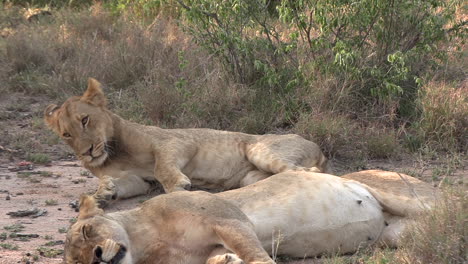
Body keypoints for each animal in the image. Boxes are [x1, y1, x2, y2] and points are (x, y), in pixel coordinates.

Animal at [44, 79, 330, 208]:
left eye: (85, 120)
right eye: (66, 134)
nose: (87, 153)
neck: (113, 152)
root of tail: (314, 145)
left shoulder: (178, 141)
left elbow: (162, 167)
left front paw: (178, 187)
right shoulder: (139, 181)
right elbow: (123, 183)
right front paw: (101, 194)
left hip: (259, 150)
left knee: (309, 172)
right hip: (252, 175)